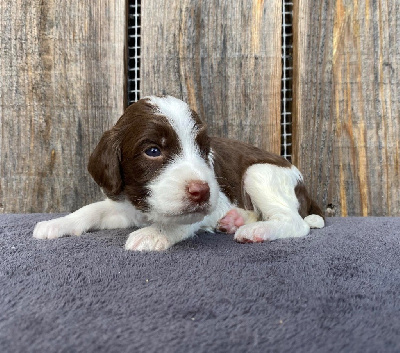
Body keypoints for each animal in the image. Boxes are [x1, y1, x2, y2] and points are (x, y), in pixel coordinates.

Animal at [32, 94, 324, 250]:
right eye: (153, 151)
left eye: (203, 150)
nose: (202, 191)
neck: (146, 208)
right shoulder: (124, 205)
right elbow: (92, 210)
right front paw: (57, 223)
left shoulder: (206, 206)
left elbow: (179, 222)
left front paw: (152, 234)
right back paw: (235, 221)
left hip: (259, 172)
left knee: (295, 222)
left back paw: (257, 230)